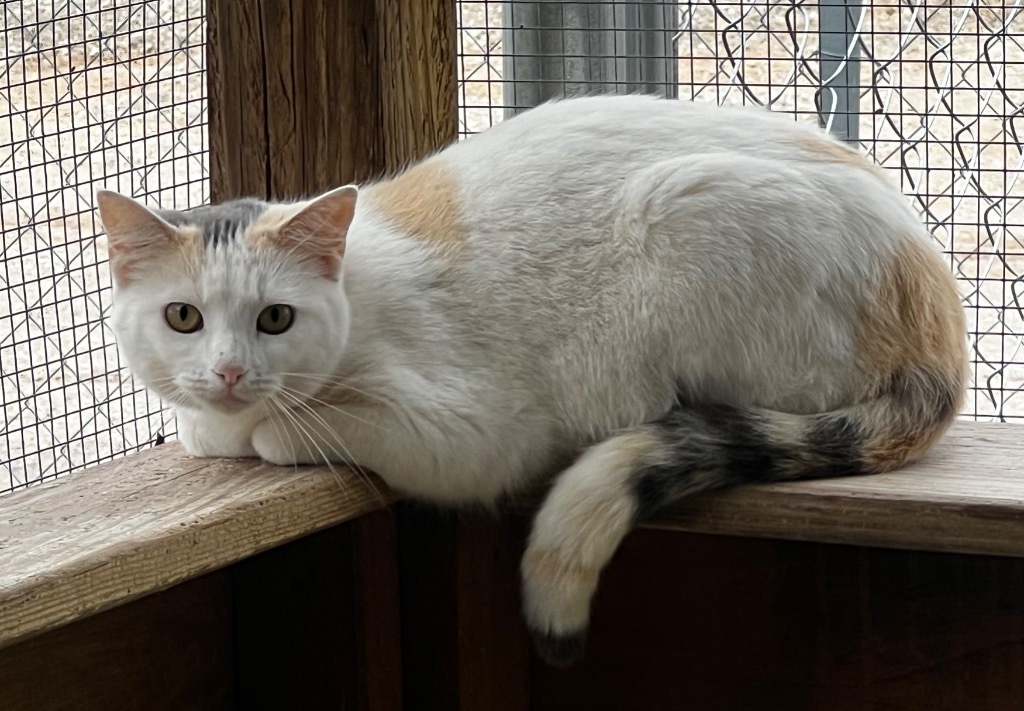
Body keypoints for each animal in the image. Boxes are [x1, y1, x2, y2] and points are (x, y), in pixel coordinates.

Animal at [96, 94, 966, 667]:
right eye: (183, 318)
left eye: (275, 318)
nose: (229, 370)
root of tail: (943, 336)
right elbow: (205, 427)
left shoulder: (467, 432)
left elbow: (273, 432)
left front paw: (258, 427)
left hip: (683, 206)